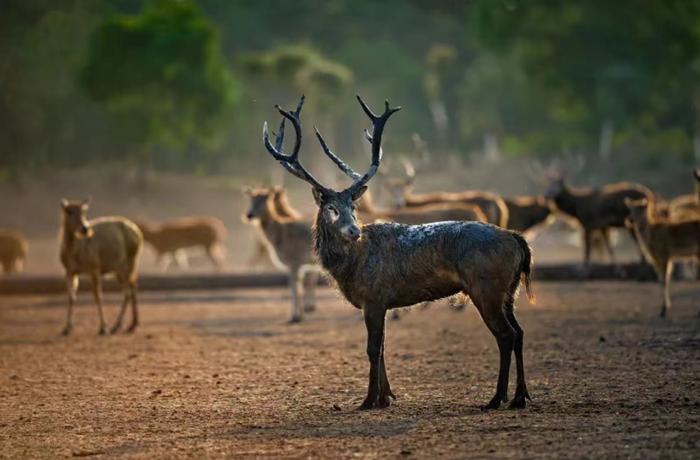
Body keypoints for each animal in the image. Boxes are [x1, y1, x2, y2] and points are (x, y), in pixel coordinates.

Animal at [59, 198, 143, 334]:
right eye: (69, 211)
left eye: (84, 211)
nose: (85, 229)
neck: (74, 253)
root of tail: (139, 233)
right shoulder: (69, 271)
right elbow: (71, 297)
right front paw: (66, 328)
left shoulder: (94, 268)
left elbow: (98, 296)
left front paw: (103, 328)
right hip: (119, 269)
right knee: (132, 288)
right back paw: (131, 324)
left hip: (129, 263)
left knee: (128, 292)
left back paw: (117, 326)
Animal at [241, 187, 318, 324]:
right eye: (251, 199)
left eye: (264, 200)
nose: (249, 215)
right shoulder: (300, 264)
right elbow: (298, 287)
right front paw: (299, 315)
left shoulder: (294, 261)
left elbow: (294, 288)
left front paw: (295, 317)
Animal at [264, 94, 536, 410]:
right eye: (331, 208)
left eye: (353, 207)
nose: (353, 231)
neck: (350, 266)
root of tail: (517, 240)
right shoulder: (381, 303)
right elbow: (382, 347)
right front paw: (386, 397)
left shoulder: (373, 297)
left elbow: (372, 348)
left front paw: (369, 400)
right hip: (509, 291)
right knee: (519, 332)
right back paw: (520, 396)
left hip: (487, 288)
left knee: (506, 335)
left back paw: (497, 398)